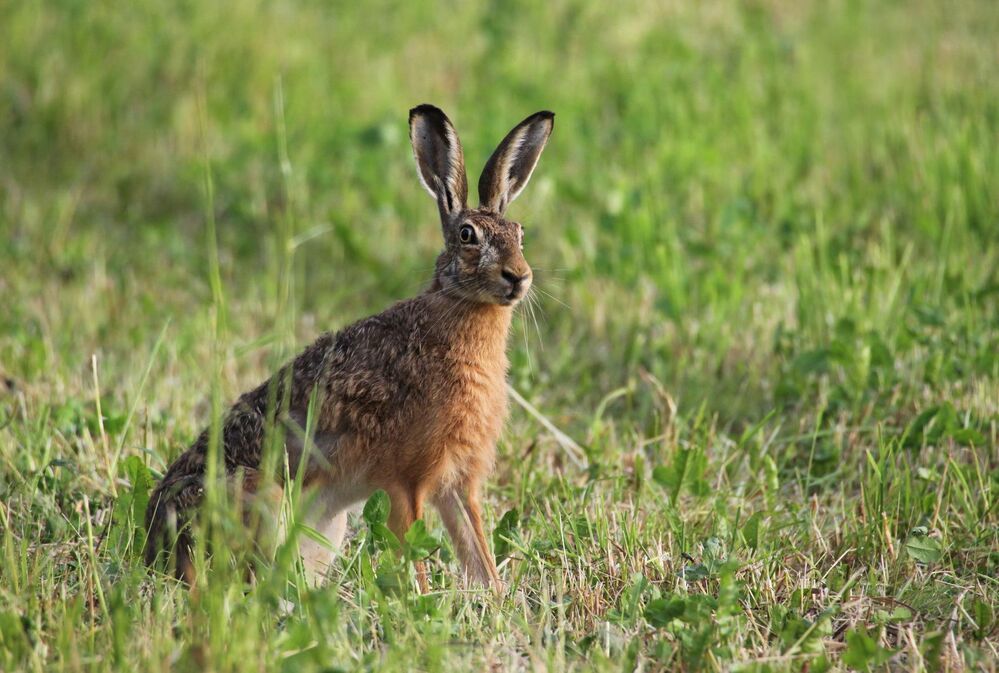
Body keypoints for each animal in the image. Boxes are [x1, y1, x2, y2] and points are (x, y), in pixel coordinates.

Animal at [144, 104, 554, 592]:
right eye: (468, 235)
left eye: (520, 233)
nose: (519, 276)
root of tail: (151, 541)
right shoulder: (407, 481)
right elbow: (411, 549)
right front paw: (421, 599)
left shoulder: (457, 484)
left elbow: (478, 554)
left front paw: (495, 599)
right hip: (260, 498)